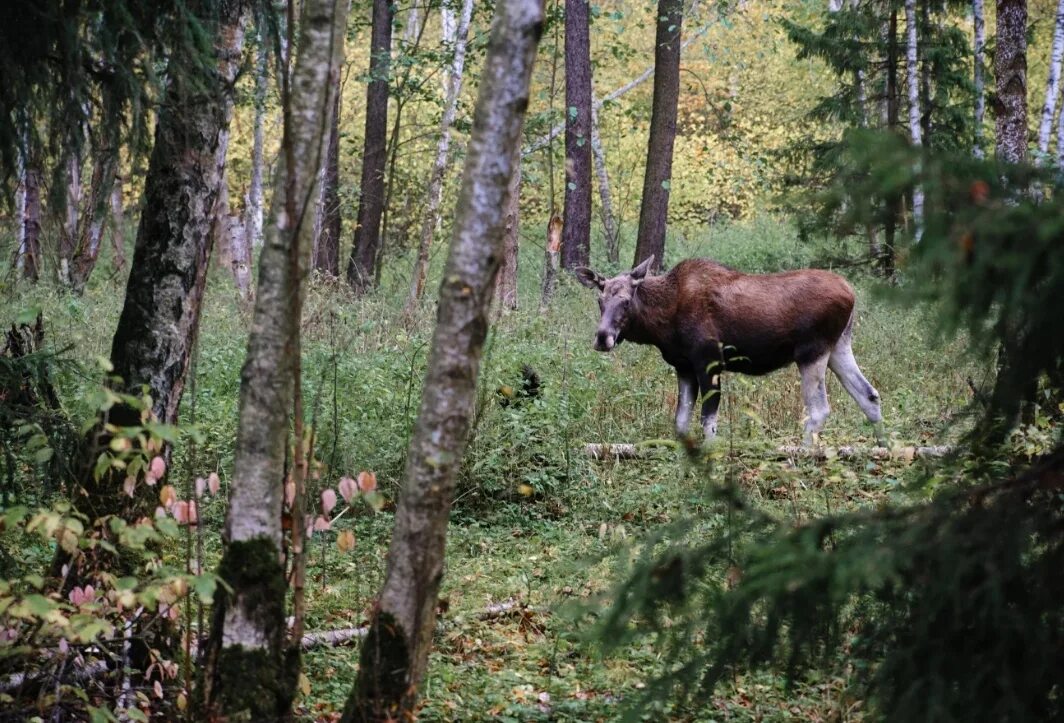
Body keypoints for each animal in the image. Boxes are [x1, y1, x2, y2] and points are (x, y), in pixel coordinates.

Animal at [578, 257, 885, 444]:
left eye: (626, 301)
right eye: (599, 300)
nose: (602, 337)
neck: (662, 323)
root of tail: (852, 293)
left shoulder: (709, 360)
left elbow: (708, 421)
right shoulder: (684, 366)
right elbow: (680, 423)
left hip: (812, 351)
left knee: (819, 409)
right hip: (838, 347)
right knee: (869, 395)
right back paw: (884, 448)